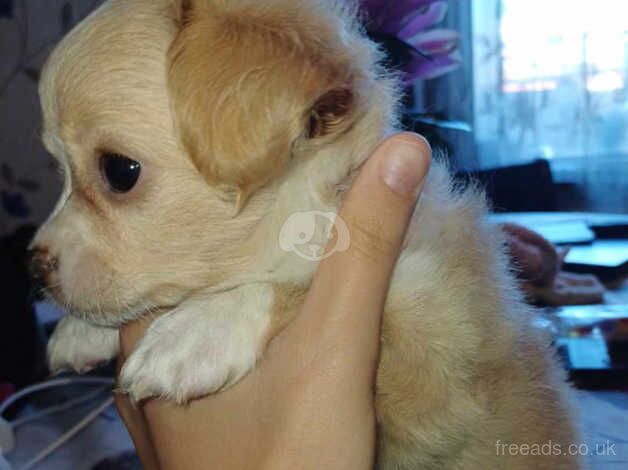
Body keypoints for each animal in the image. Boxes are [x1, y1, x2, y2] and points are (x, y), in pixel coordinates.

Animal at [33, 0, 584, 468]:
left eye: (119, 171)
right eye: (57, 170)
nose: (32, 265)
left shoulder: (432, 359)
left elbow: (293, 283)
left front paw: (197, 332)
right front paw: (81, 331)